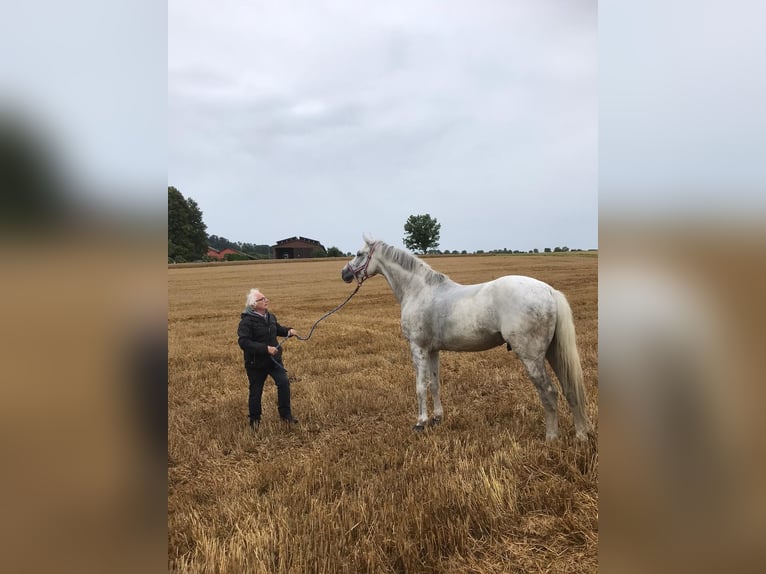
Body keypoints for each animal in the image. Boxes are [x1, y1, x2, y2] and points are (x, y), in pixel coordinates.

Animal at [342, 236, 592, 444]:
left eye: (359, 253)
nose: (344, 274)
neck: (419, 290)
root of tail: (549, 291)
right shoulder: (433, 350)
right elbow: (434, 384)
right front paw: (437, 419)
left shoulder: (418, 348)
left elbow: (420, 386)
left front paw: (420, 423)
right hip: (553, 352)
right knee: (570, 388)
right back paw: (581, 436)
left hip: (532, 358)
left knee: (549, 392)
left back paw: (551, 438)